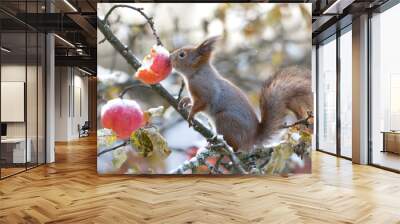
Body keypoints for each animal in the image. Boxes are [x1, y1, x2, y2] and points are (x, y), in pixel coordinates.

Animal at [170, 36, 312, 152]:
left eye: (182, 54)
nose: (170, 57)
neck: (196, 73)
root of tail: (253, 138)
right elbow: (192, 100)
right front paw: (184, 101)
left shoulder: (205, 90)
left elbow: (201, 103)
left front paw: (191, 114)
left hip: (225, 121)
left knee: (236, 147)